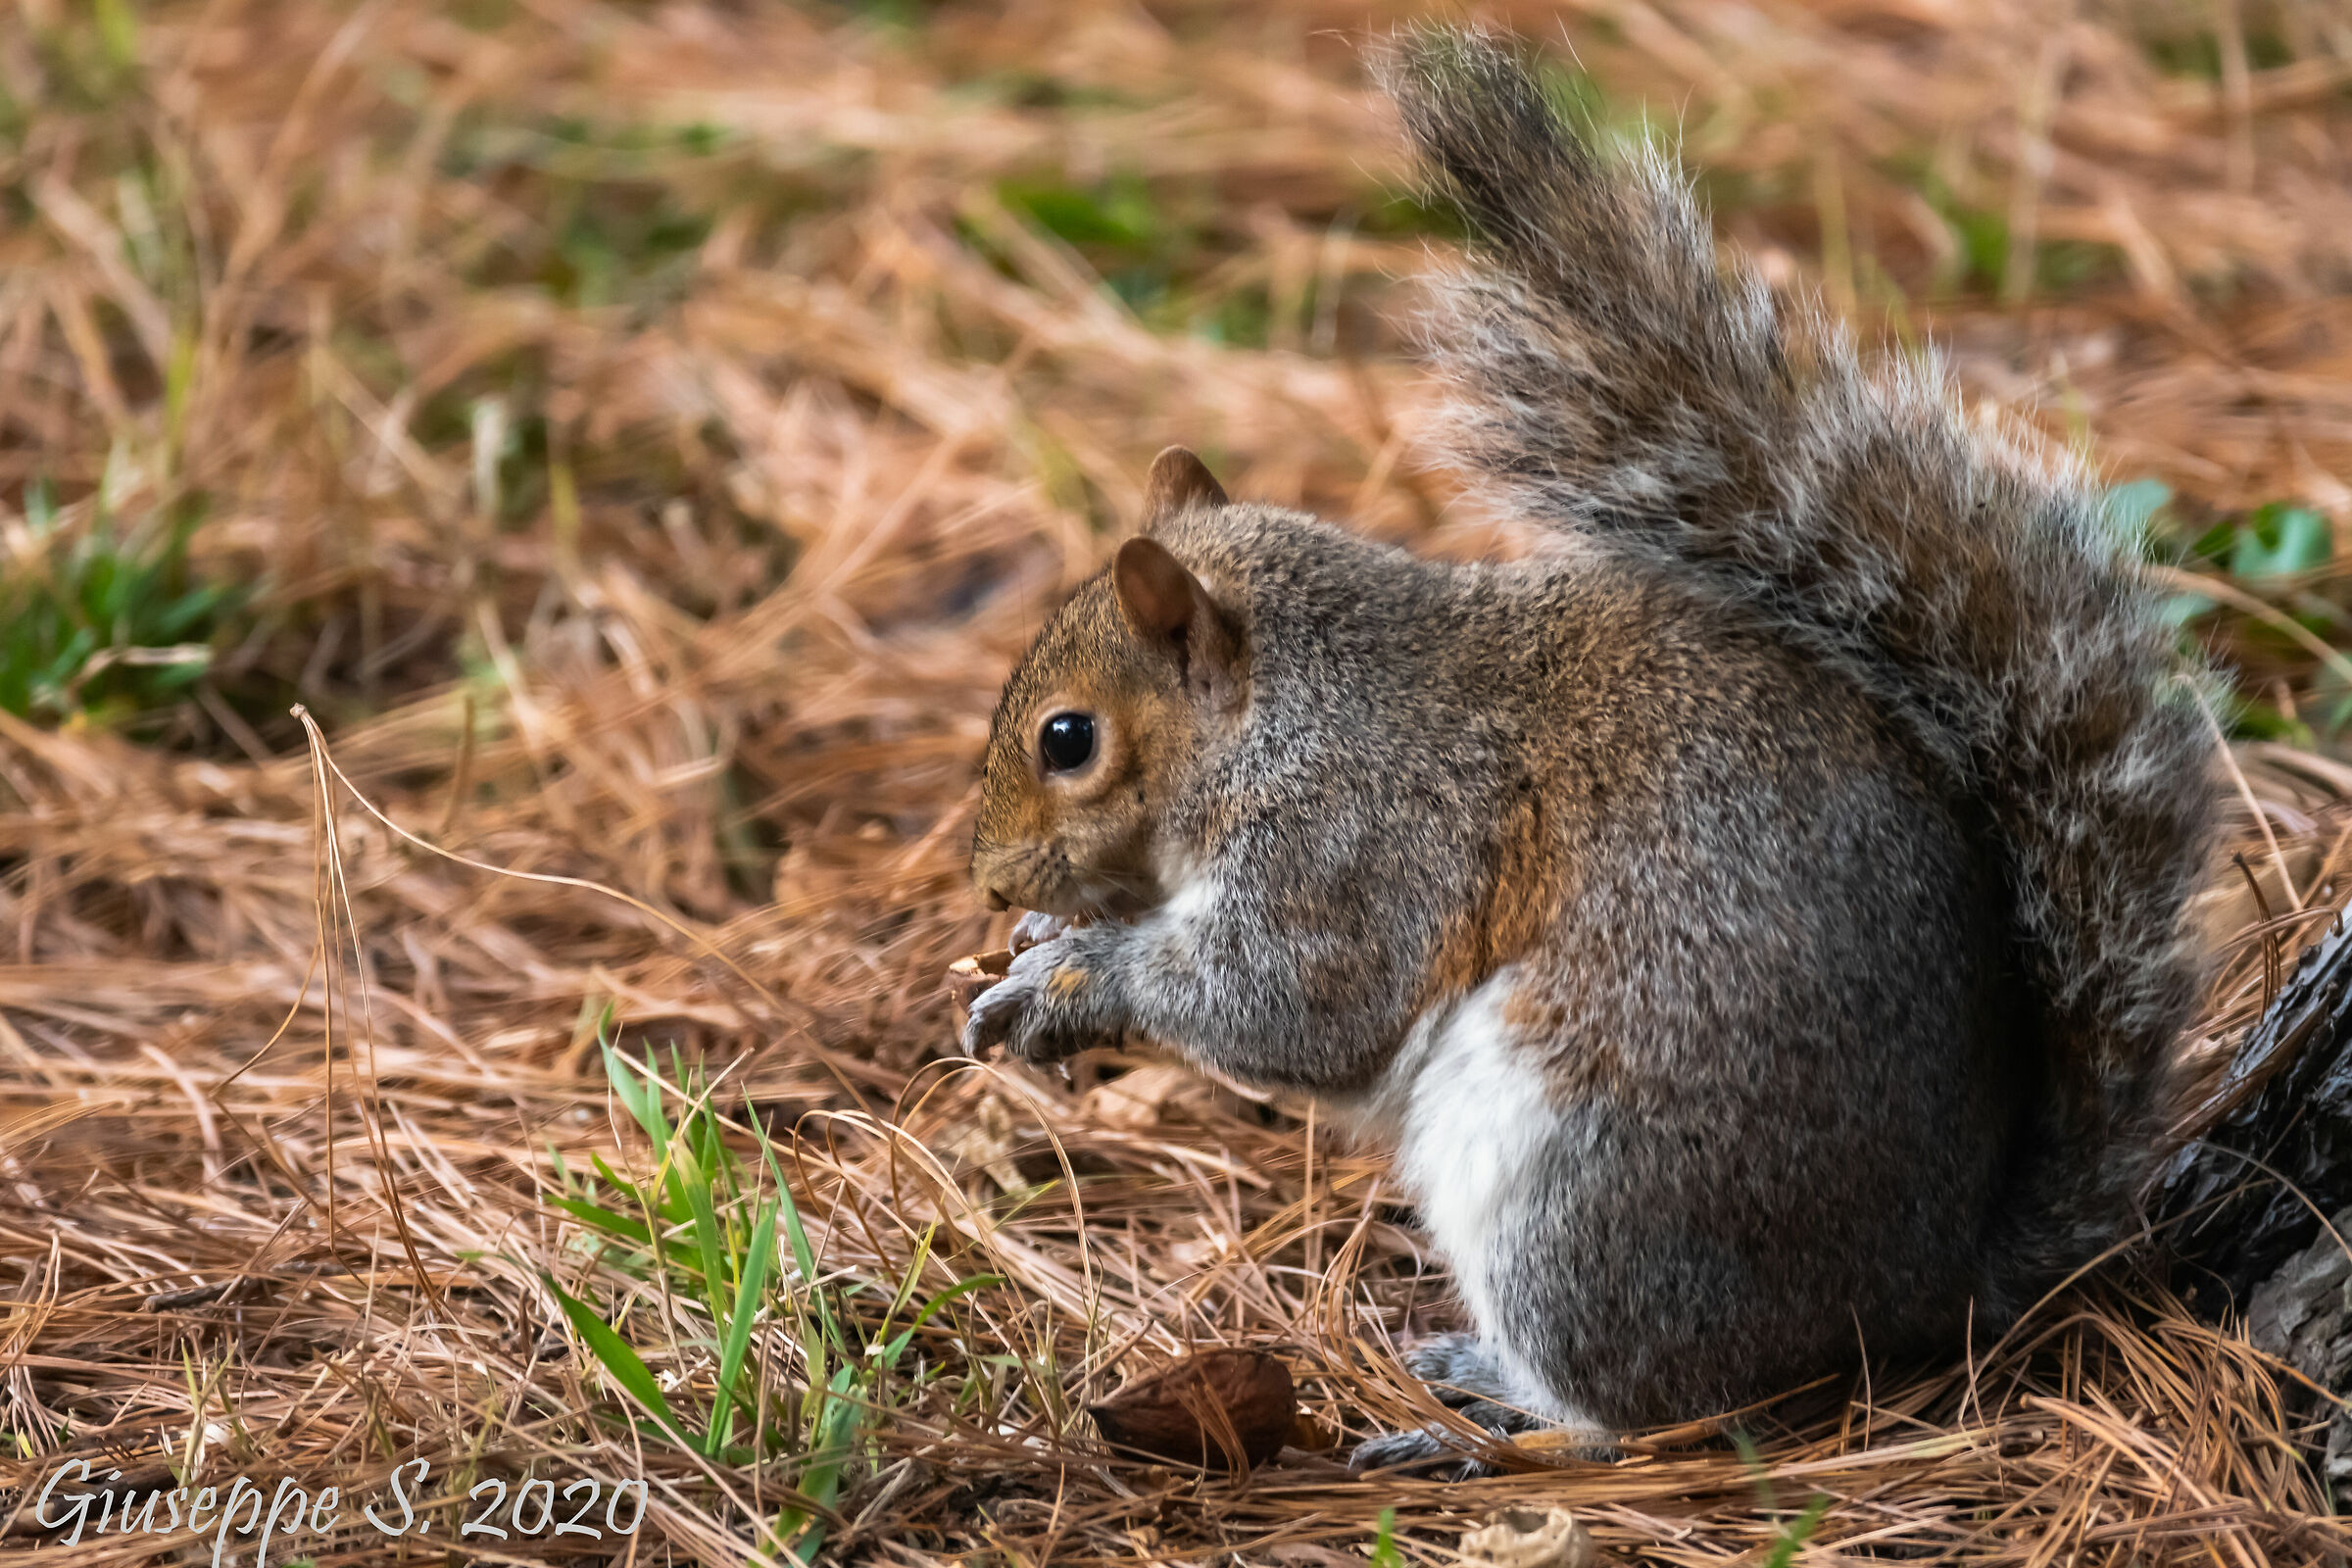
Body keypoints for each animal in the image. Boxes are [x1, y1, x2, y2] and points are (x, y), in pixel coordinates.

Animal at [960, 28, 2218, 1467]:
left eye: (1069, 741)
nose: (989, 880)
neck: (1295, 707)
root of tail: (1921, 1298)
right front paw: (1046, 945)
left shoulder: (1355, 845)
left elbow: (1295, 1006)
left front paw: (1078, 979)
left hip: (1582, 1190)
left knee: (1661, 1408)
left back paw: (1494, 1428)